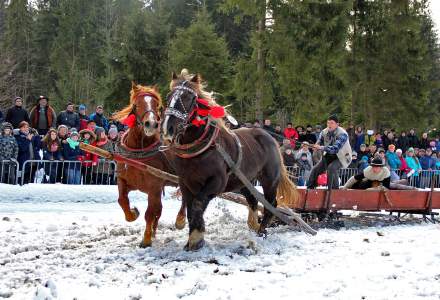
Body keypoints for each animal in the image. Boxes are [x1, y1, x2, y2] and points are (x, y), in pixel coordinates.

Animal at [112, 83, 186, 247]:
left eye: (157, 105)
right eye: (136, 104)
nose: (151, 124)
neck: (138, 153)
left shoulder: (154, 188)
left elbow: (150, 214)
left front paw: (146, 239)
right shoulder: (123, 180)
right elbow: (122, 200)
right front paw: (133, 214)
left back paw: (180, 220)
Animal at [160, 71, 298, 251]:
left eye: (188, 97)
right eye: (169, 96)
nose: (167, 128)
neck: (202, 150)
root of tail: (270, 137)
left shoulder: (217, 182)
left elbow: (197, 205)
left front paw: (197, 238)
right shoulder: (186, 182)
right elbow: (191, 209)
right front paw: (191, 239)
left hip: (269, 180)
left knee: (271, 204)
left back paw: (261, 231)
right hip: (244, 181)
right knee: (252, 199)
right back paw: (253, 224)